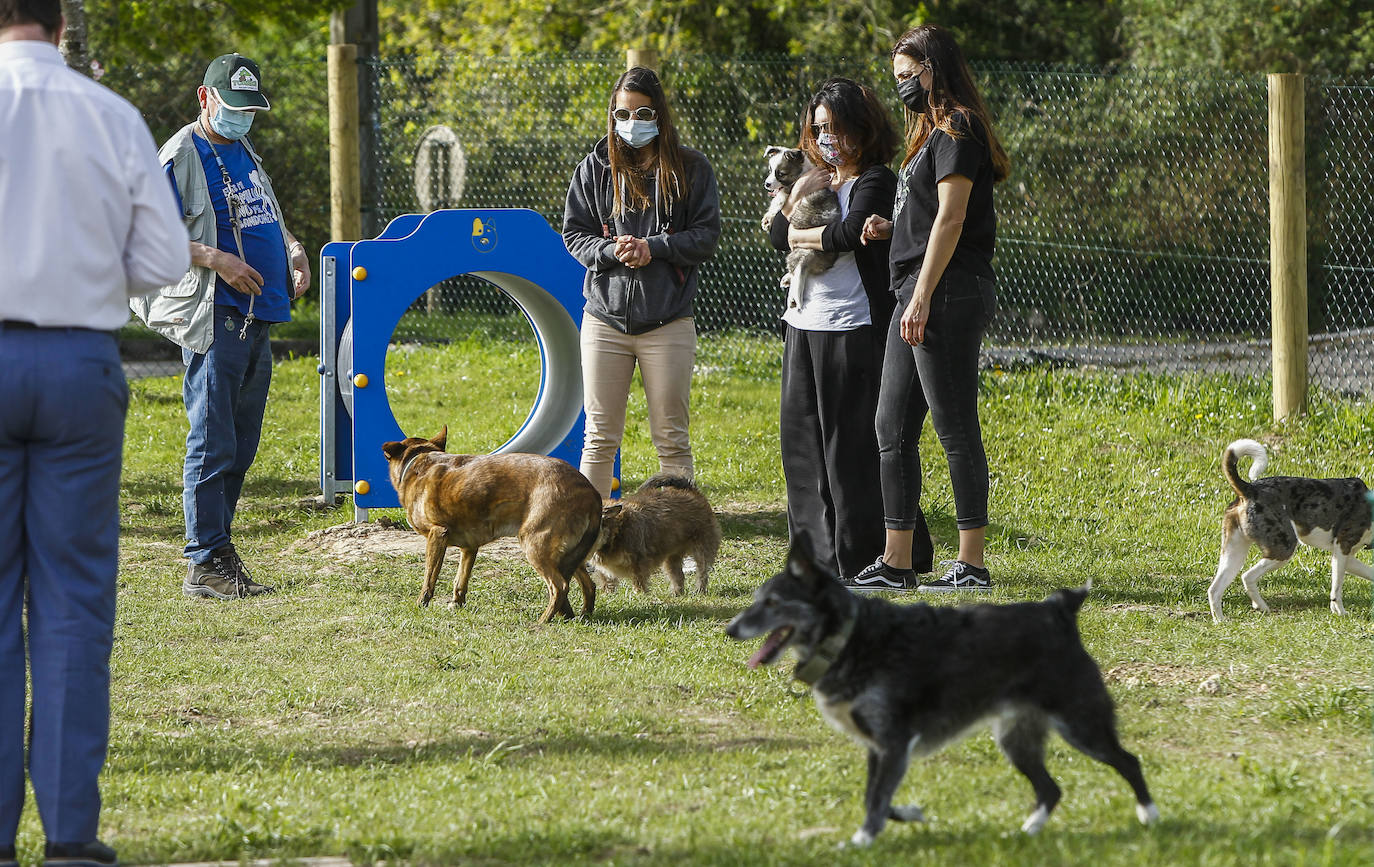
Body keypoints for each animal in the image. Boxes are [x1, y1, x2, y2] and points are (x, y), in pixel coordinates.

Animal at [384, 428, 604, 623]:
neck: (418, 460)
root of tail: (591, 493)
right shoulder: (469, 547)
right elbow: (460, 580)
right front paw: (457, 603)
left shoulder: (437, 534)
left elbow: (429, 577)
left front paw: (421, 604)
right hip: (569, 555)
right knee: (589, 585)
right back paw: (582, 616)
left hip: (537, 546)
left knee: (560, 587)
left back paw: (543, 621)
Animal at [590, 475, 719, 596]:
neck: (616, 533)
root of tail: (692, 489)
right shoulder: (605, 571)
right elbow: (607, 582)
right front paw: (608, 595)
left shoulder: (638, 563)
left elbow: (639, 581)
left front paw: (640, 595)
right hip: (671, 557)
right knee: (678, 575)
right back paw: (677, 593)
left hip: (702, 548)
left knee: (702, 571)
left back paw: (699, 589)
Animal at [730, 544, 1159, 846]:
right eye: (756, 600)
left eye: (773, 603)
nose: (730, 629)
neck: (852, 638)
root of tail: (1060, 610)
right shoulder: (879, 747)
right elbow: (876, 798)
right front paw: (909, 816)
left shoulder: (895, 742)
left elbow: (876, 800)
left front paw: (860, 843)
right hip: (1015, 739)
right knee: (1050, 789)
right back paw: (1027, 832)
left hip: (1080, 724)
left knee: (1129, 761)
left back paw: (1149, 816)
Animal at [1209, 439, 1368, 623]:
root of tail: (1250, 489)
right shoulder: (1342, 548)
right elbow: (1336, 590)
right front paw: (1340, 612)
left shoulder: (1346, 557)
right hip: (1283, 549)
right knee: (1247, 576)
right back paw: (1260, 606)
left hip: (1234, 554)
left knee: (1215, 589)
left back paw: (1221, 620)